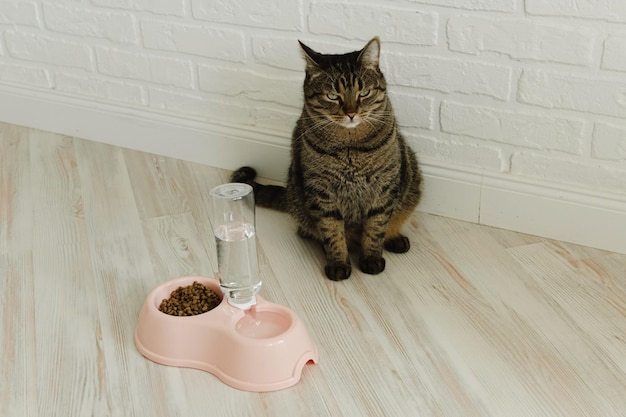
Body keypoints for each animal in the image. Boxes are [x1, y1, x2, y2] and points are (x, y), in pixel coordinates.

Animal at [232, 37, 422, 282]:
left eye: (364, 92)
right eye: (332, 96)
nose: (351, 113)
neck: (350, 146)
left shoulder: (384, 187)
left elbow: (377, 226)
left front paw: (372, 258)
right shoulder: (321, 191)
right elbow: (331, 231)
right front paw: (338, 263)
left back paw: (395, 238)